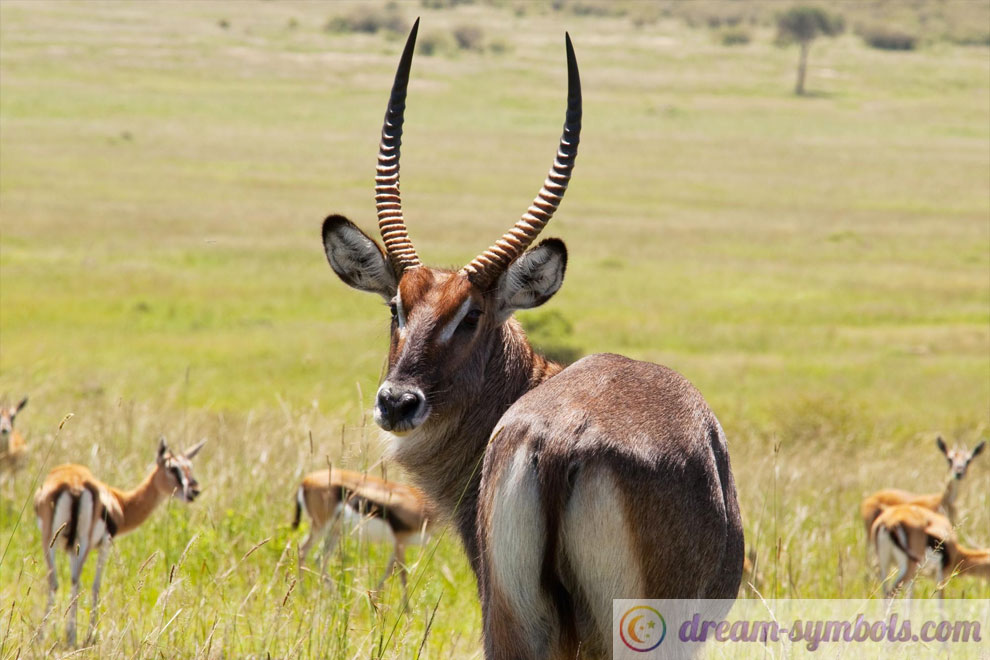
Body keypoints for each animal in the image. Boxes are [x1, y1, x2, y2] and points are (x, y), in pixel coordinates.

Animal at [34, 437, 205, 645]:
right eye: (173, 468)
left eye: (190, 466)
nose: (194, 491)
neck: (119, 502)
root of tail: (74, 485)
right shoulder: (106, 544)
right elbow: (96, 586)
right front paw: (89, 635)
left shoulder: (72, 549)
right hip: (83, 543)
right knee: (75, 581)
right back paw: (70, 636)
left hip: (50, 540)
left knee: (56, 581)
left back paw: (42, 637)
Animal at [292, 467, 431, 592]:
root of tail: (306, 481)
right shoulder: (400, 540)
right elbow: (402, 575)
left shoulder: (401, 544)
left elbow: (389, 570)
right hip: (321, 526)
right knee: (303, 551)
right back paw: (303, 593)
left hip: (334, 531)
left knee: (319, 558)